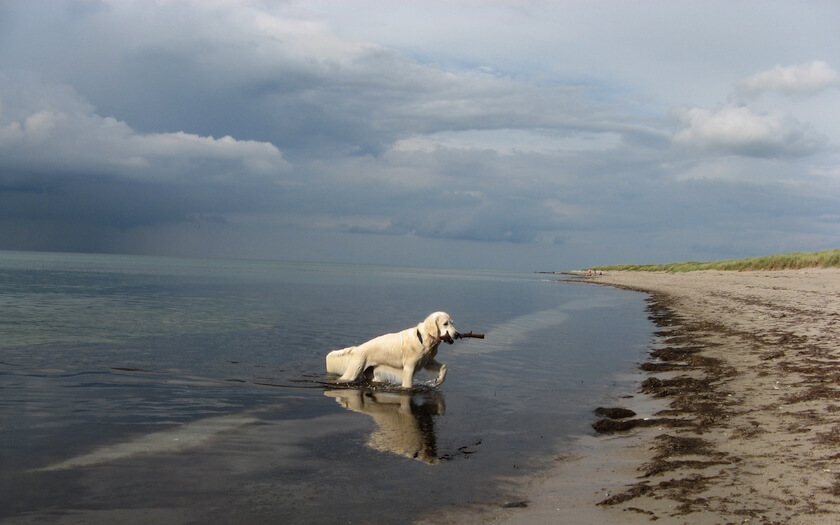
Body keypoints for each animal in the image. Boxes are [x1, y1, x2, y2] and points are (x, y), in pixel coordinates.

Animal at [326, 312, 460, 388]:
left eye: (452, 323)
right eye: (445, 323)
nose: (457, 334)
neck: (423, 338)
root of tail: (357, 348)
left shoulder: (427, 361)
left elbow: (444, 367)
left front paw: (439, 381)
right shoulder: (409, 367)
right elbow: (407, 386)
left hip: (371, 374)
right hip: (353, 371)